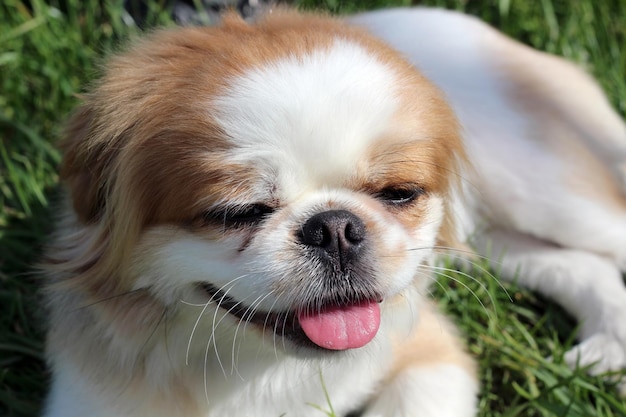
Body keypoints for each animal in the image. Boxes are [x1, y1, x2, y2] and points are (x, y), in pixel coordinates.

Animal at [40, 6, 624, 416]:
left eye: (398, 193)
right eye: (238, 212)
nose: (335, 227)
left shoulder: (433, 357)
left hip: (545, 193)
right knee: (579, 264)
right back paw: (606, 350)